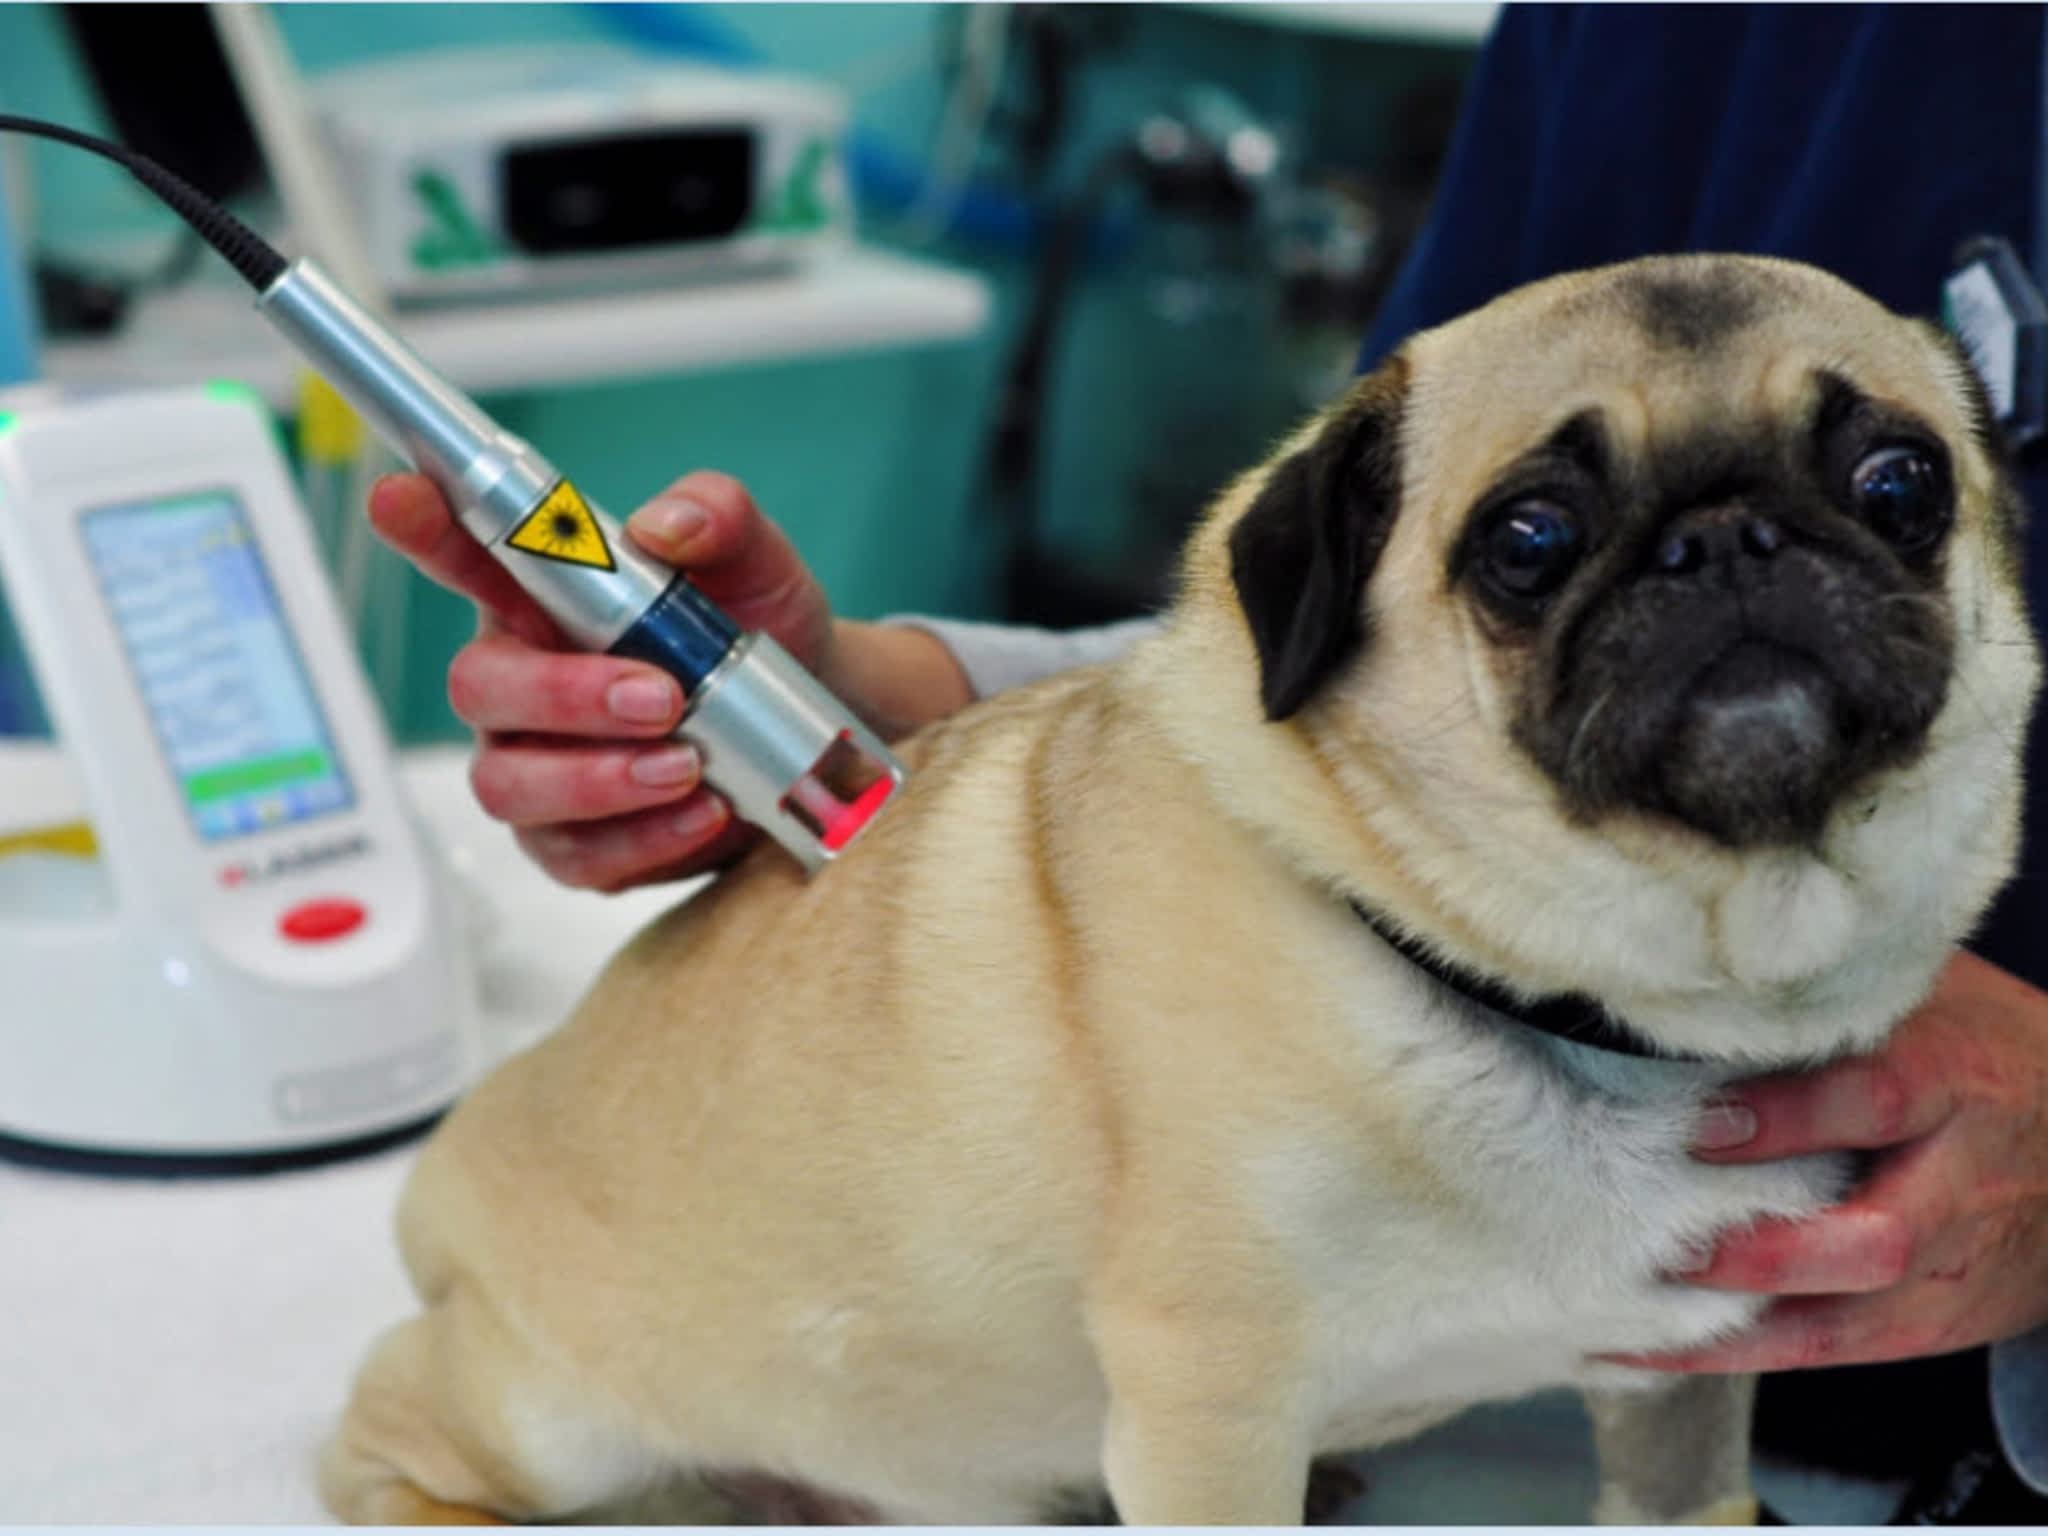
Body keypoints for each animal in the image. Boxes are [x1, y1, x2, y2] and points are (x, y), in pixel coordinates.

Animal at [315, 259, 2031, 1531]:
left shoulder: (1679, 1386)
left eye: (1901, 483)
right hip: (541, 1417)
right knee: (383, 1434)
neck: (1593, 1005)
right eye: (1530, 539)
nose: (1730, 534)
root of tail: (438, 1184)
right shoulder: (1210, 1405)